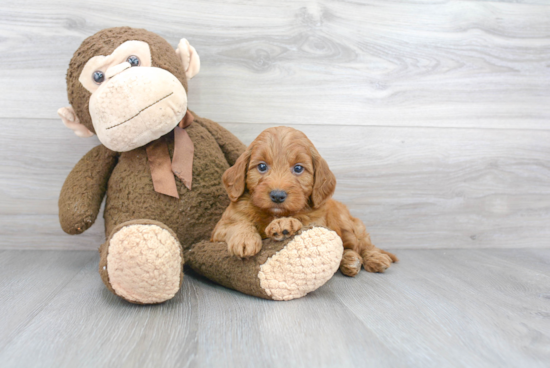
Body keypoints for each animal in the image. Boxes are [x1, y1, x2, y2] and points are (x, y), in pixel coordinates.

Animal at [210, 126, 396, 276]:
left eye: (298, 168)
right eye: (262, 166)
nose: (277, 196)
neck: (272, 215)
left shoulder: (316, 223)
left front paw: (284, 224)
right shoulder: (218, 230)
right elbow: (238, 224)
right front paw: (244, 239)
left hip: (349, 225)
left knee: (363, 244)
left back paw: (375, 258)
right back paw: (350, 260)